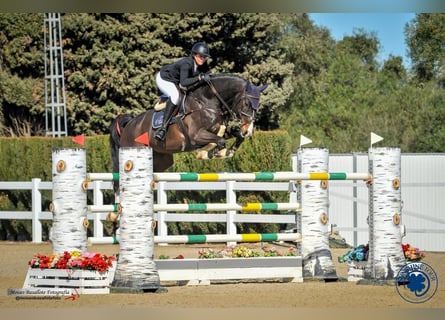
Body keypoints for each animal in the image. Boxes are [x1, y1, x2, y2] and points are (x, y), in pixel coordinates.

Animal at [108, 73, 268, 190]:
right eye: (246, 103)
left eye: (258, 105)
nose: (248, 130)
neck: (206, 102)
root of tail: (129, 124)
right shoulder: (196, 136)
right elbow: (220, 141)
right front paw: (210, 153)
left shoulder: (219, 130)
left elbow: (235, 136)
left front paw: (228, 151)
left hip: (162, 159)